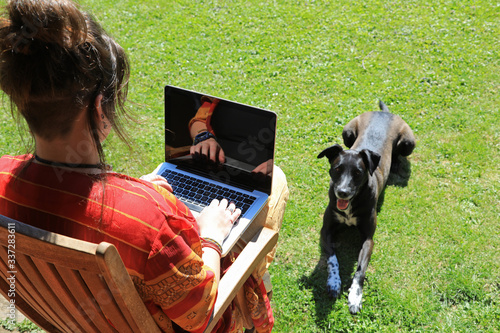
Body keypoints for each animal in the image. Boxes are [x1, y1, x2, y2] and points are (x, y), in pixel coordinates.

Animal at [318, 100, 416, 312]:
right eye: (337, 169)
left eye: (357, 172)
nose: (342, 192)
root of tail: (384, 113)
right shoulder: (326, 230)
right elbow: (332, 259)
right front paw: (334, 283)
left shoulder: (368, 238)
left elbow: (360, 268)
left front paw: (355, 296)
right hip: (347, 132)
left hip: (408, 143)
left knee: (399, 154)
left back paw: (396, 165)